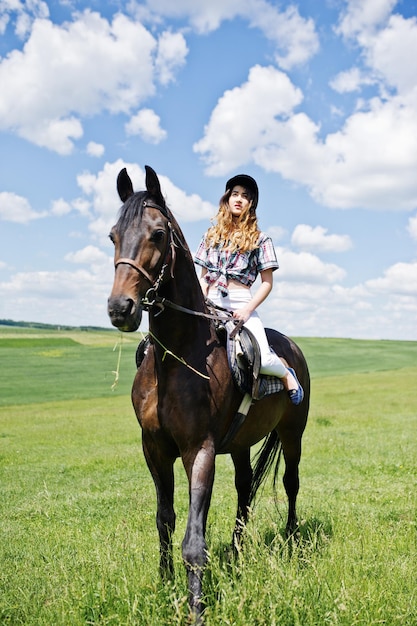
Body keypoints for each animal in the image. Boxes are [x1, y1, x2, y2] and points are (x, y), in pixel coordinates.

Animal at [107, 165, 308, 620]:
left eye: (158, 233)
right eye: (113, 235)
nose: (120, 308)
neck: (177, 357)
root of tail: (292, 347)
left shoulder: (199, 451)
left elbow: (193, 541)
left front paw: (195, 608)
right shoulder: (154, 448)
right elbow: (164, 519)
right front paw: (165, 583)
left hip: (292, 435)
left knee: (289, 483)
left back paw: (289, 540)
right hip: (240, 443)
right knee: (245, 489)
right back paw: (236, 553)